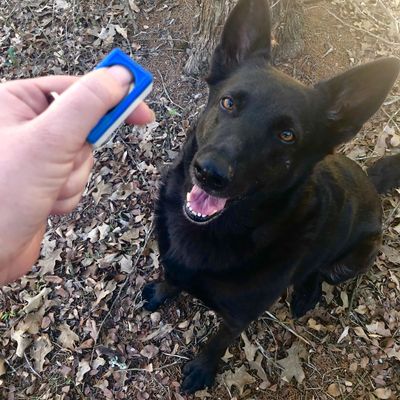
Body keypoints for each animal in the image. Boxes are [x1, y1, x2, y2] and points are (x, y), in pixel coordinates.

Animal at [142, 0, 398, 394]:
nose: (210, 172)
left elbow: (217, 342)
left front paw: (202, 368)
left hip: (350, 260)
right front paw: (163, 289)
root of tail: (370, 181)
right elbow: (172, 276)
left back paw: (307, 293)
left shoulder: (238, 318)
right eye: (229, 103)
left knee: (318, 271)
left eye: (287, 135)